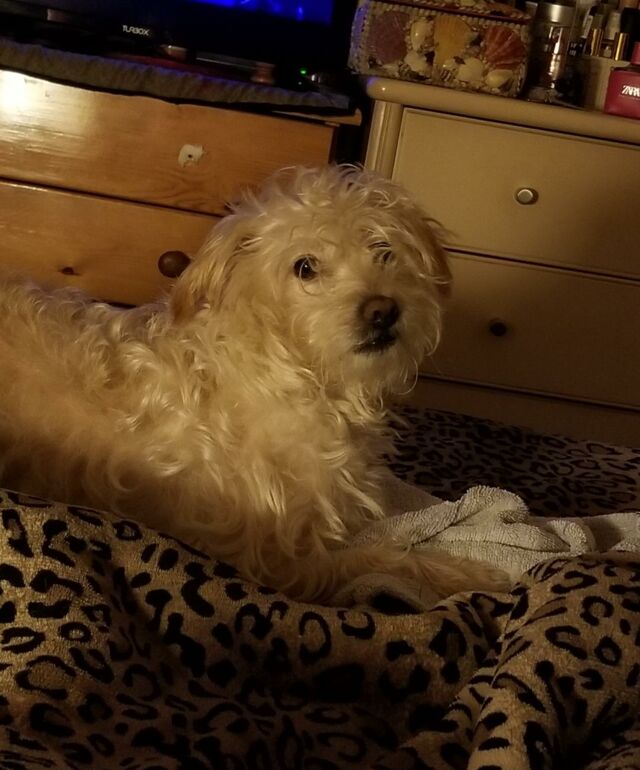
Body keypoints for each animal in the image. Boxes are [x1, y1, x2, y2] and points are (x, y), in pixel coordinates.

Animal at [0, 165, 508, 604]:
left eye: (385, 251)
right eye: (305, 267)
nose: (382, 310)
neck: (296, 375)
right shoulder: (276, 561)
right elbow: (376, 561)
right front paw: (467, 575)